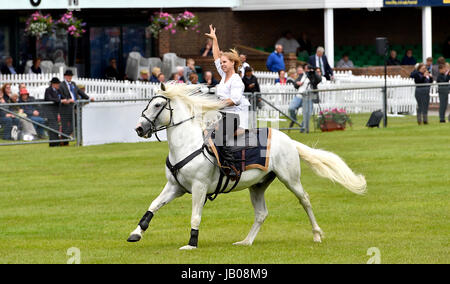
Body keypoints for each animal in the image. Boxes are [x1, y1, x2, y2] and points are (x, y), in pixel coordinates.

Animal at [126, 83, 366, 250]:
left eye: (158, 105)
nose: (139, 128)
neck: (188, 145)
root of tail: (288, 140)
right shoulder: (175, 187)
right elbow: (153, 206)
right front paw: (136, 233)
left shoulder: (199, 187)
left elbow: (195, 216)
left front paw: (191, 244)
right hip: (257, 186)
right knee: (261, 213)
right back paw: (246, 242)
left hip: (290, 178)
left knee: (305, 200)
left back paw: (316, 234)